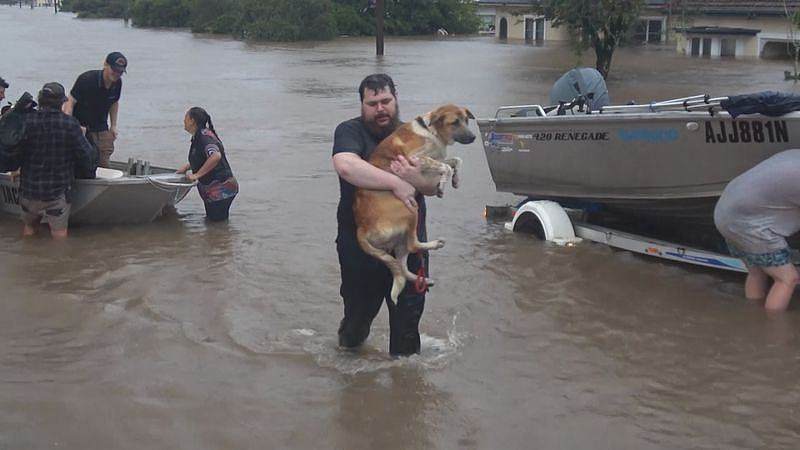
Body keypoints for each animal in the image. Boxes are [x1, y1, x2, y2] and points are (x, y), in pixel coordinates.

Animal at [352, 103, 476, 302]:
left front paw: (456, 180)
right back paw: (434, 245)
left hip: (399, 242)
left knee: (402, 266)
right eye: (454, 122)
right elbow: (446, 167)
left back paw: (423, 278)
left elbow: (456, 161)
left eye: (466, 120)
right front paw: (443, 185)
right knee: (413, 246)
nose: (473, 137)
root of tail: (361, 228)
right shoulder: (417, 159)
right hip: (409, 210)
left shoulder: (437, 159)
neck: (430, 132)